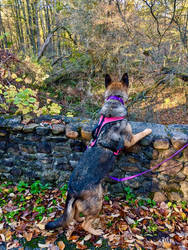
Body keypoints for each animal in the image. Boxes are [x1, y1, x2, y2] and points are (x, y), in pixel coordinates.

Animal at [45, 73, 151, 235]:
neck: (114, 102)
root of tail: (72, 191)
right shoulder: (130, 139)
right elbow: (140, 134)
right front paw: (148, 130)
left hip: (81, 204)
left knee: (75, 215)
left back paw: (79, 219)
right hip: (98, 201)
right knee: (85, 224)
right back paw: (95, 231)